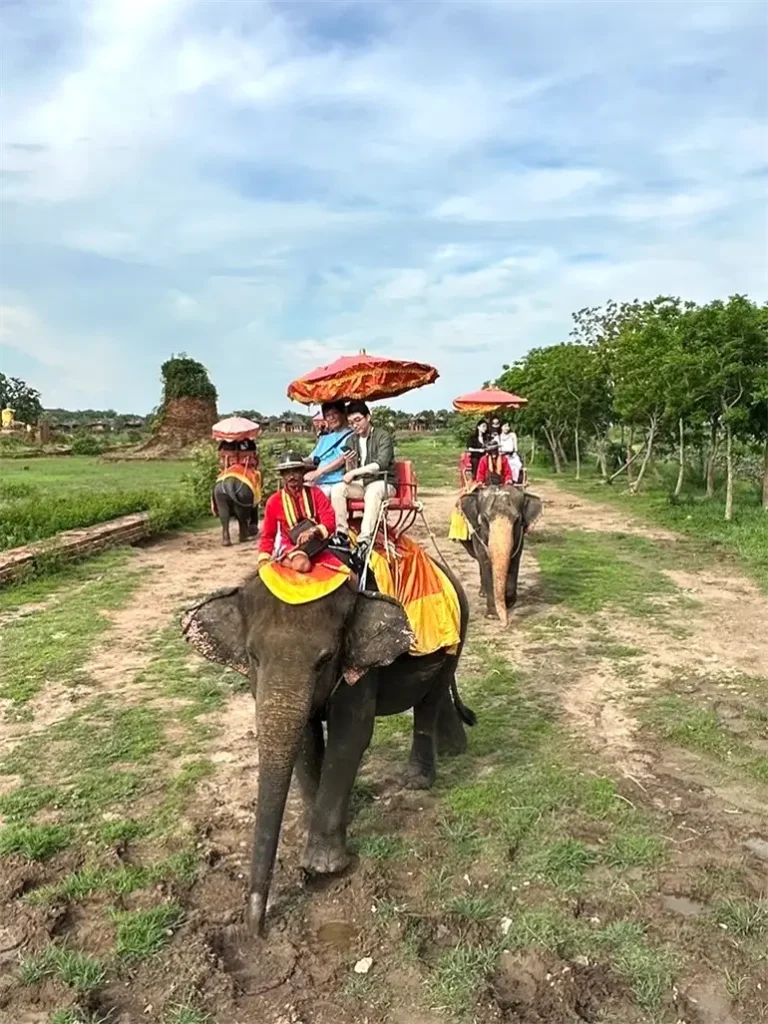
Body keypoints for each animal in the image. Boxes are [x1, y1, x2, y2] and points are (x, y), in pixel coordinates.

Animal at [184, 565, 479, 937]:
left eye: (324, 660)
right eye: (253, 656)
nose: (255, 929)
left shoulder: (360, 666)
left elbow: (350, 734)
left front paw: (322, 867)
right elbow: (306, 737)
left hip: (457, 633)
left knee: (430, 698)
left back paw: (418, 780)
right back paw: (454, 750)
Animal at [460, 485, 544, 622]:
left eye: (517, 520)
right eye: (484, 519)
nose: (505, 623)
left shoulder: (519, 538)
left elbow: (515, 560)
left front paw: (509, 602)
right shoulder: (478, 535)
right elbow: (486, 562)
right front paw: (492, 615)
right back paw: (482, 593)